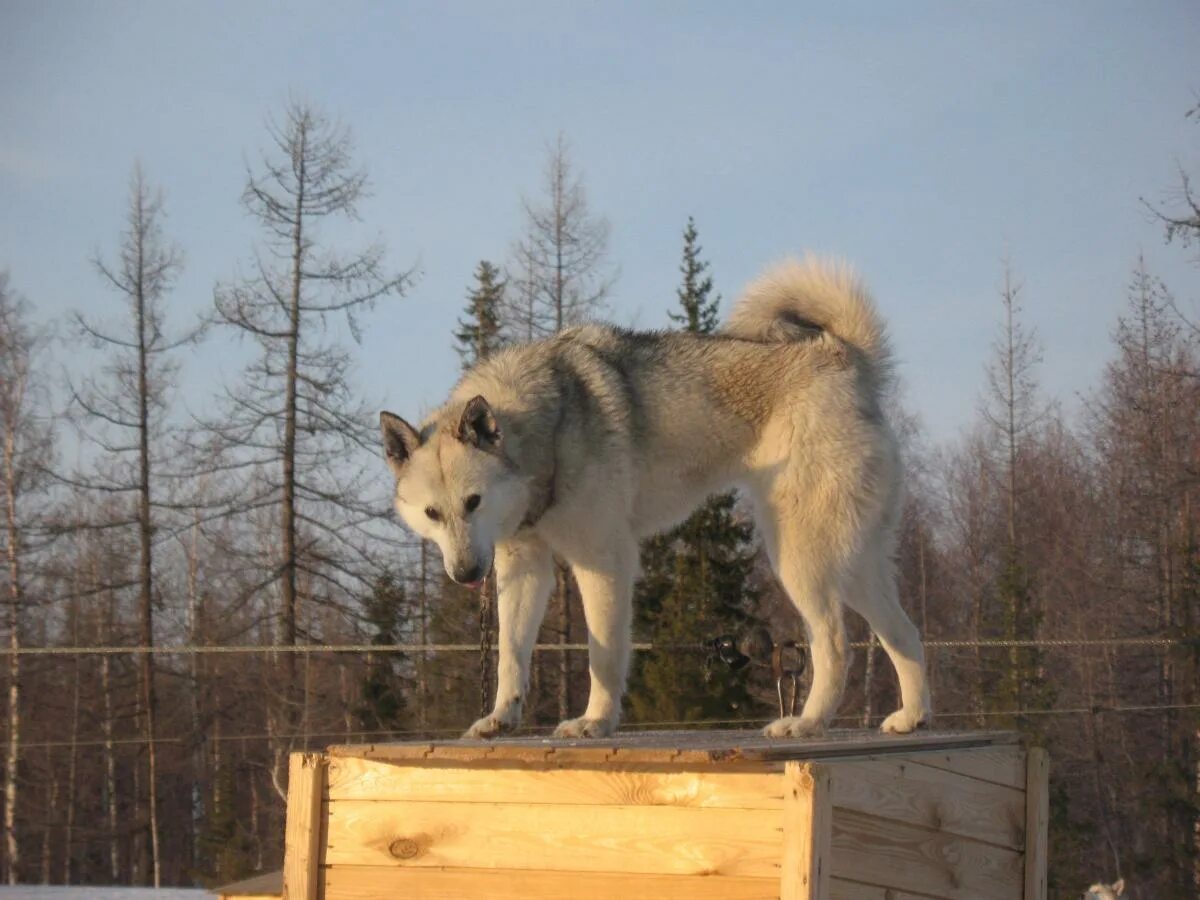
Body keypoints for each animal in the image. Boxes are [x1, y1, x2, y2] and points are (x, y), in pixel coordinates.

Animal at [379, 256, 931, 744]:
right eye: (433, 514)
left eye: (473, 502)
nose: (465, 574)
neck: (545, 431)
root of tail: (844, 355)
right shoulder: (524, 567)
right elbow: (511, 656)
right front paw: (500, 718)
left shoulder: (605, 562)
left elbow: (602, 656)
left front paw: (595, 722)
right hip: (854, 566)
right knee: (906, 637)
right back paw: (912, 717)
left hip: (799, 558)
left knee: (836, 645)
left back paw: (807, 723)